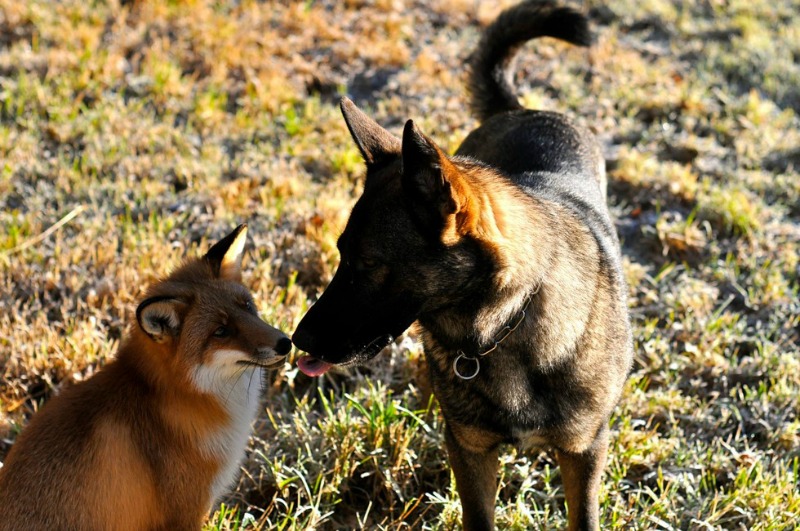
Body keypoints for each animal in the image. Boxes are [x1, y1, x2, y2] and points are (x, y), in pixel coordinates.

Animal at [290, 2, 636, 528]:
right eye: (339, 252)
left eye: (367, 263)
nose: (296, 340)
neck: (505, 324)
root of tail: (519, 109)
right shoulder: (469, 450)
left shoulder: (584, 451)